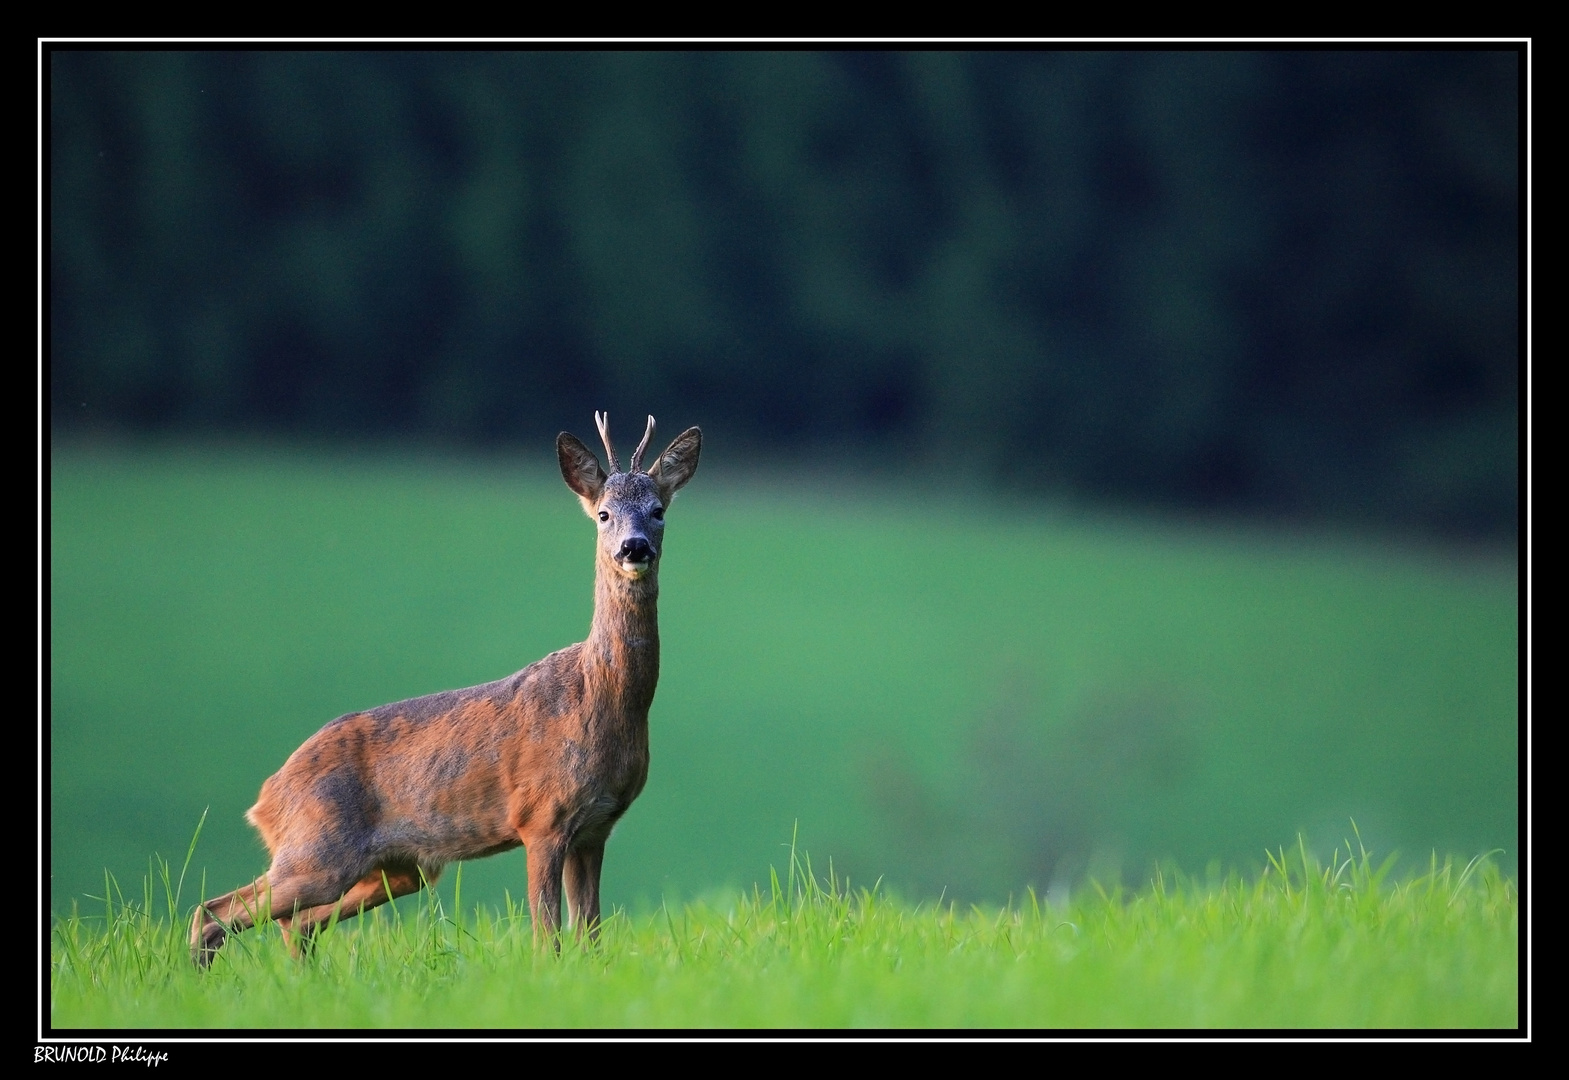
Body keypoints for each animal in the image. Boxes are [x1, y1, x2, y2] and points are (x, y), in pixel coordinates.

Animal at [189, 414, 699, 973]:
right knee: (216, 910)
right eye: (604, 514)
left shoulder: (595, 827)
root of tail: (268, 795)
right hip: (317, 850)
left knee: (293, 922)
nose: (634, 547)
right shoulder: (541, 818)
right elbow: (548, 936)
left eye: (658, 511)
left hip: (396, 869)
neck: (599, 698)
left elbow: (592, 936)